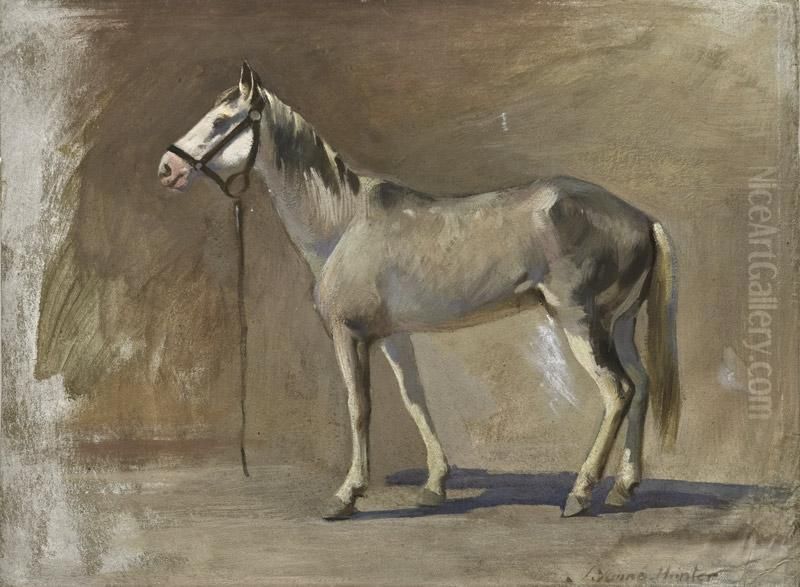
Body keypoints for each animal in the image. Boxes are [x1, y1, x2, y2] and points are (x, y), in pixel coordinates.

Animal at [158, 62, 680, 520]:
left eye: (221, 121)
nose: (167, 168)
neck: (344, 223)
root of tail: (641, 218)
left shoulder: (348, 334)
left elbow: (359, 408)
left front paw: (346, 495)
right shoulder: (393, 336)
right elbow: (415, 400)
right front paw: (434, 484)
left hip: (580, 323)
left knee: (617, 391)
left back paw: (581, 492)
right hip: (620, 325)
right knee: (642, 386)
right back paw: (623, 488)